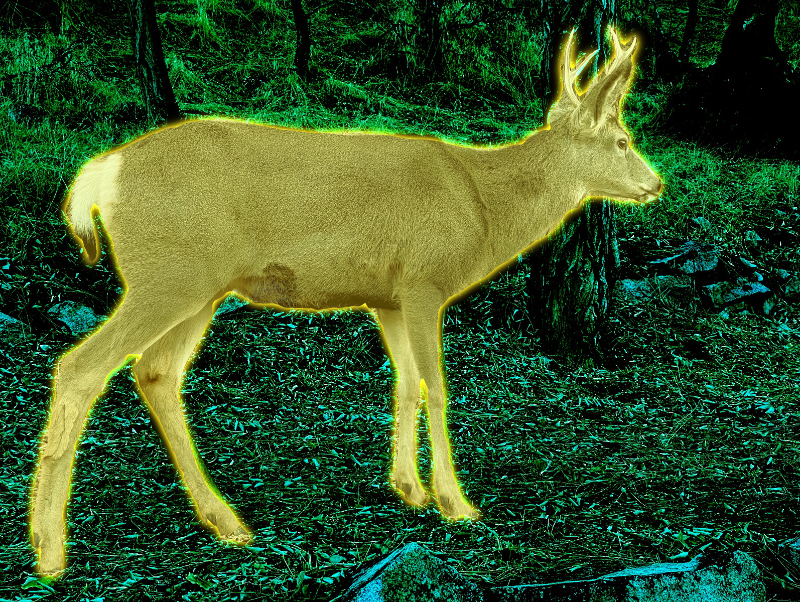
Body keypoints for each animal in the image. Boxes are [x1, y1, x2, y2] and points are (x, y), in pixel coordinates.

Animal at [31, 28, 662, 576]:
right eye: (624, 140)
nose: (655, 184)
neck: (483, 205)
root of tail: (99, 172)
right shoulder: (424, 281)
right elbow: (437, 387)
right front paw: (456, 503)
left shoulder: (388, 296)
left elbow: (405, 382)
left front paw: (409, 489)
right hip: (168, 276)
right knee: (80, 366)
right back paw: (50, 551)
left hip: (198, 289)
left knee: (155, 372)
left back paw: (226, 521)